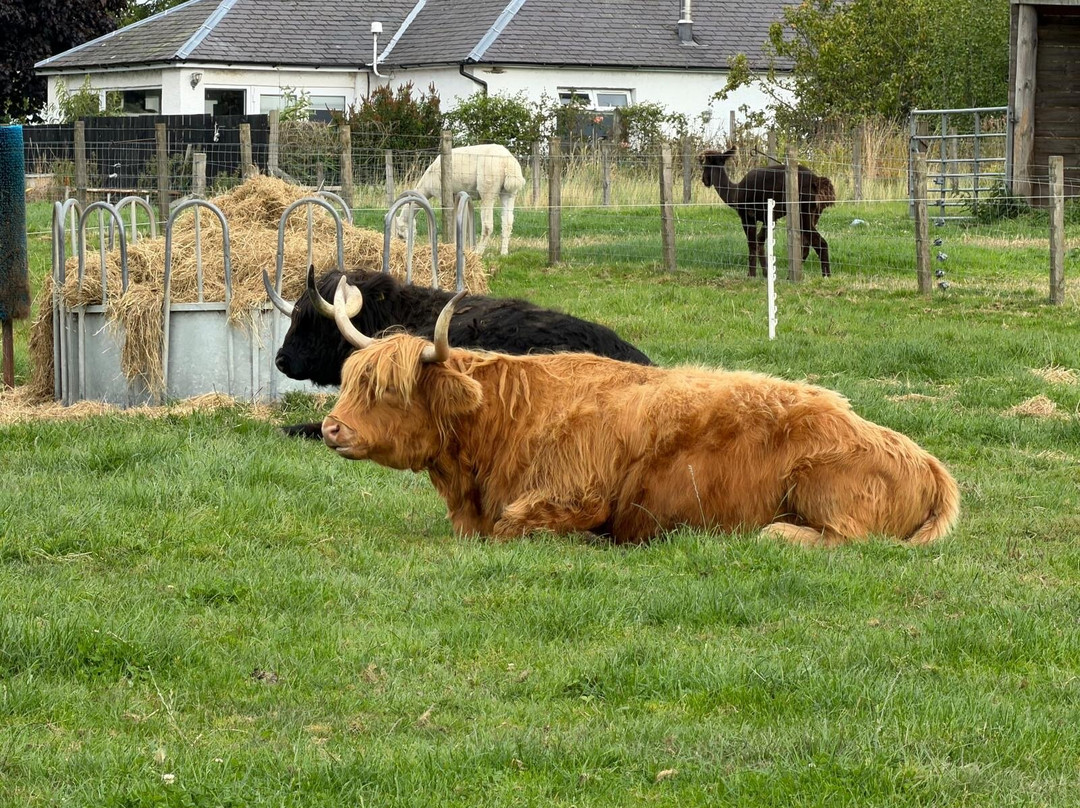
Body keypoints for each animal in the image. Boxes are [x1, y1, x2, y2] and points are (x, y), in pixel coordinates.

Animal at [320, 279, 961, 546]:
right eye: (350, 381)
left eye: (391, 390)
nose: (331, 426)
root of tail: (926, 460)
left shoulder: (572, 498)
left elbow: (514, 528)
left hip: (823, 497)